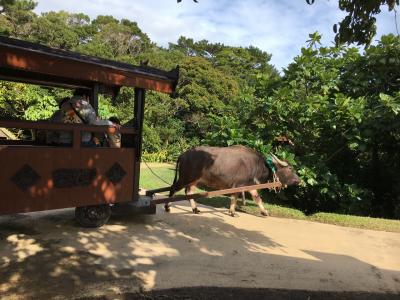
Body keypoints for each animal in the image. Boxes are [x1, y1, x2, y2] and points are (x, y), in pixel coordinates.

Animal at [166, 145, 300, 216]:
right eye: (290, 168)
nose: (299, 180)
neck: (257, 165)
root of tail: (183, 154)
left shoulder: (247, 185)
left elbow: (251, 198)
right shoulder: (242, 185)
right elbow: (241, 197)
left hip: (194, 181)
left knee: (189, 192)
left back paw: (195, 209)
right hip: (185, 178)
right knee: (173, 189)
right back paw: (167, 207)